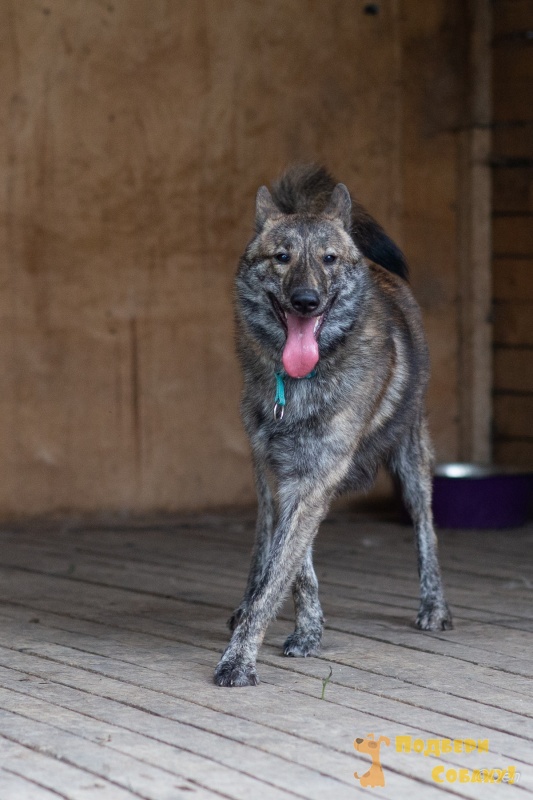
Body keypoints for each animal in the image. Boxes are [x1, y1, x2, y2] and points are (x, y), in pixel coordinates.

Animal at [214, 164, 450, 688]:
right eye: (282, 257)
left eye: (328, 259)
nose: (306, 300)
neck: (298, 384)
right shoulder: (282, 480)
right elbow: (291, 569)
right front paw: (306, 629)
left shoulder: (314, 481)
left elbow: (280, 575)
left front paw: (238, 660)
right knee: (262, 542)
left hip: (411, 461)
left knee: (426, 531)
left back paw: (434, 606)